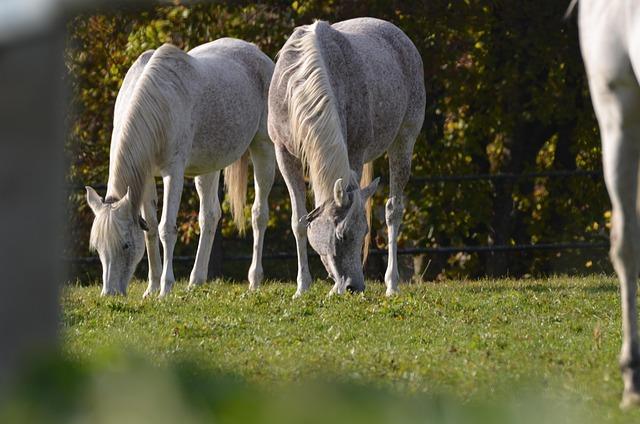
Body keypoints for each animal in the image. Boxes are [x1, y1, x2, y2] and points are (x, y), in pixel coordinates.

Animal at [85, 40, 276, 298]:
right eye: (98, 247)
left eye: (124, 245)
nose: (109, 293)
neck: (158, 104)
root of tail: (258, 54)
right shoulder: (146, 178)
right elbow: (150, 229)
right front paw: (152, 287)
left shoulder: (173, 173)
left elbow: (166, 227)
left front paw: (165, 288)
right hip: (209, 167)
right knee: (210, 216)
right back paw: (196, 280)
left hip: (263, 148)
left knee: (258, 214)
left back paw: (254, 281)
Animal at [268, 18, 424, 296]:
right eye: (341, 236)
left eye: (363, 233)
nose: (354, 286)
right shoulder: (283, 152)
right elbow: (299, 222)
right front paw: (302, 287)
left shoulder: (355, 153)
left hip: (404, 140)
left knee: (393, 211)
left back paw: (392, 285)